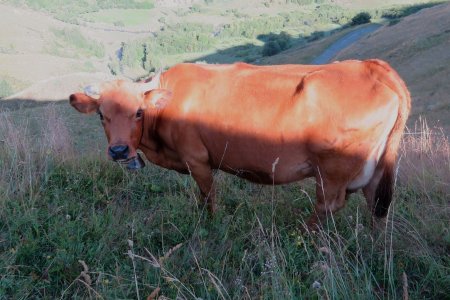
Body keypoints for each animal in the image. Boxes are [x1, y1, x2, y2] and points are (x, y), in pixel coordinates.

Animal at [70, 59, 412, 226]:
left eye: (138, 112)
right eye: (101, 114)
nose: (118, 151)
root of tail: (372, 66)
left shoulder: (197, 159)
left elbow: (208, 197)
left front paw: (210, 225)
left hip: (334, 169)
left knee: (330, 205)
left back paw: (305, 234)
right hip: (376, 167)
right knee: (376, 205)